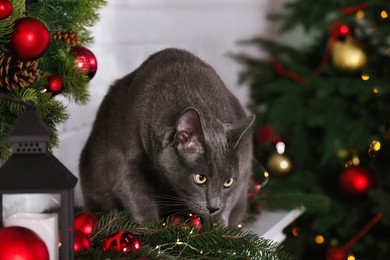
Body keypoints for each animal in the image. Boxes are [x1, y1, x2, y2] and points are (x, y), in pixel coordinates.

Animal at [80, 47, 254, 226]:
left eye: (228, 182)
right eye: (200, 178)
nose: (213, 207)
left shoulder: (243, 166)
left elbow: (230, 201)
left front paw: (217, 226)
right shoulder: (126, 160)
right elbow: (137, 197)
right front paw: (149, 228)